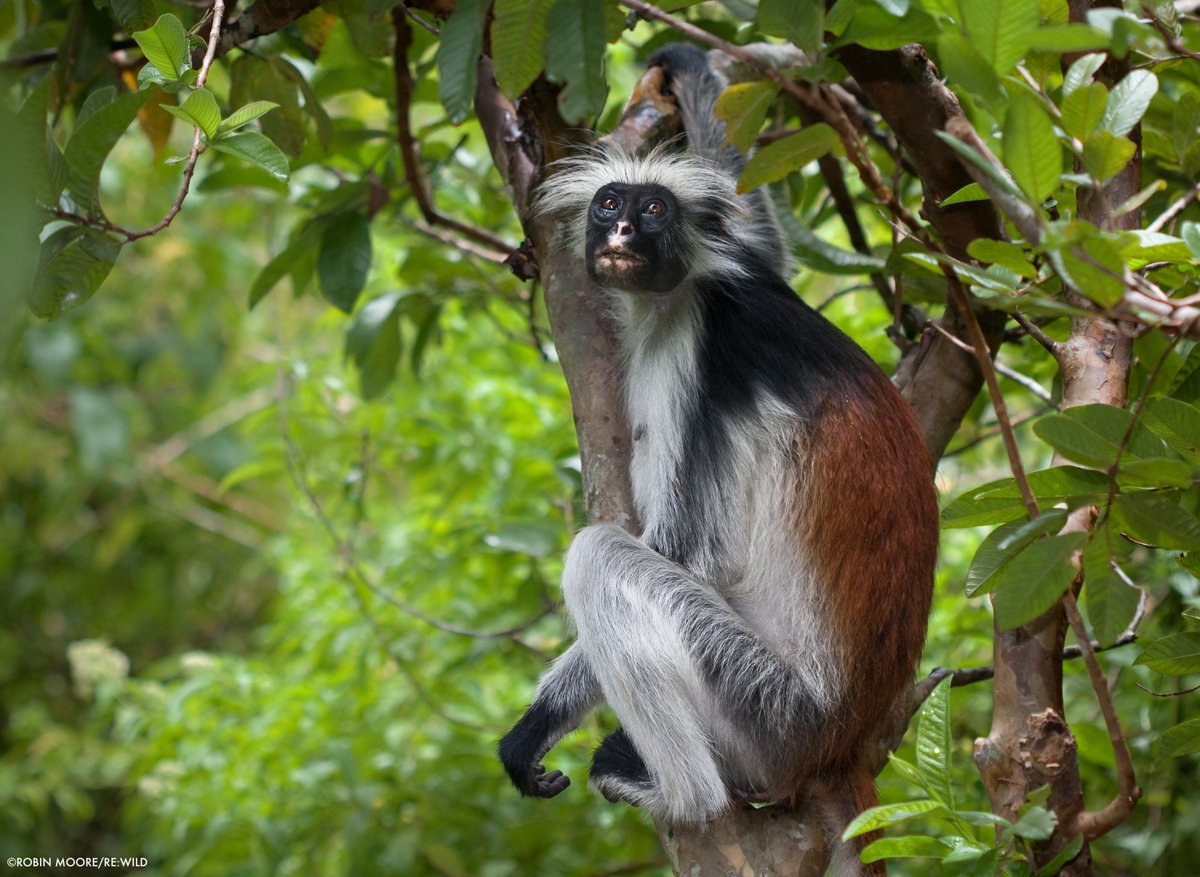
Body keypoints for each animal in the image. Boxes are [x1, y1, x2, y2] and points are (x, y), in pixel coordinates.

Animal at [496, 44, 936, 873]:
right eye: (610, 203)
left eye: (654, 212)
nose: (622, 229)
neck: (675, 298)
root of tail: (840, 740)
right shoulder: (746, 265)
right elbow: (763, 237)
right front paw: (691, 70)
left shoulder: (703, 349)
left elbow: (689, 554)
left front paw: (538, 722)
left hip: (767, 711)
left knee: (602, 556)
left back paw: (682, 793)